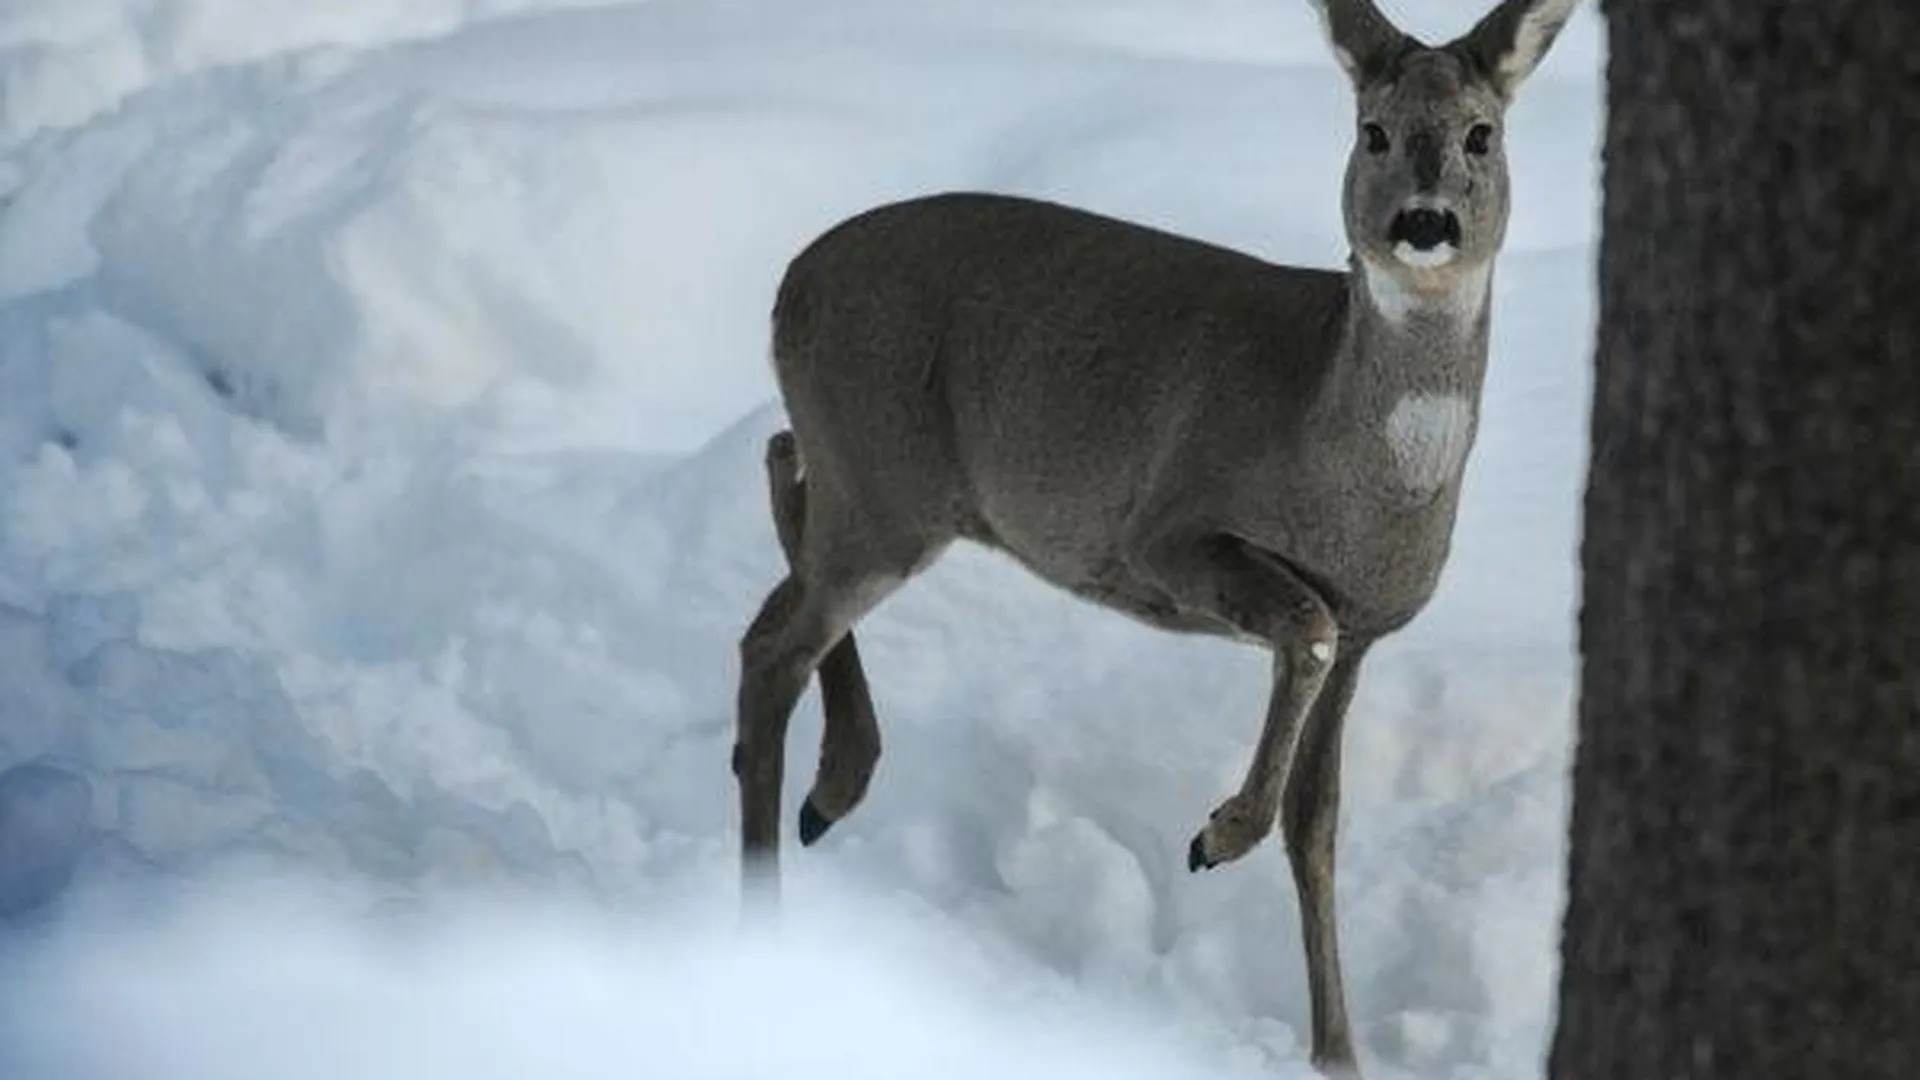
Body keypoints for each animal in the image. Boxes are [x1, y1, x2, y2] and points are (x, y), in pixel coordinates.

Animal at [725, 0, 1582, 1068]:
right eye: (1373, 131)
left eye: (1481, 134)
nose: (1424, 222)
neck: (1344, 462)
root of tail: (786, 283)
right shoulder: (1168, 532)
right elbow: (1302, 636)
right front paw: (1215, 835)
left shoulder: (1373, 623)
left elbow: (1319, 821)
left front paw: (1338, 1051)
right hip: (885, 482)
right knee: (774, 641)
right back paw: (771, 908)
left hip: (879, 483)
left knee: (779, 502)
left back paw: (830, 788)